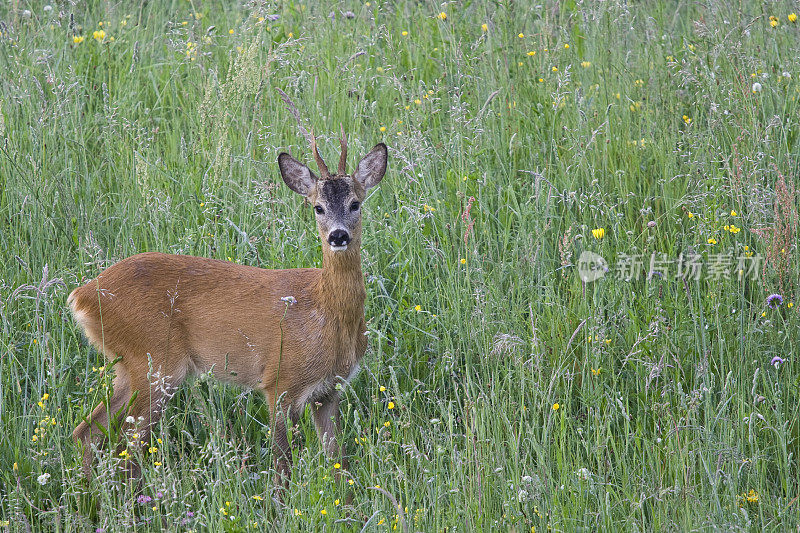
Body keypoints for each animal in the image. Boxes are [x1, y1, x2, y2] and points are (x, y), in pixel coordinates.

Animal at [70, 131, 390, 488]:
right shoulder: (280, 381)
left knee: (88, 431)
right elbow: (282, 467)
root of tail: (82, 295)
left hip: (129, 366)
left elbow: (339, 463)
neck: (326, 314)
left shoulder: (329, 392)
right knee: (128, 447)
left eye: (355, 203)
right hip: (155, 361)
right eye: (318, 207)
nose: (338, 236)